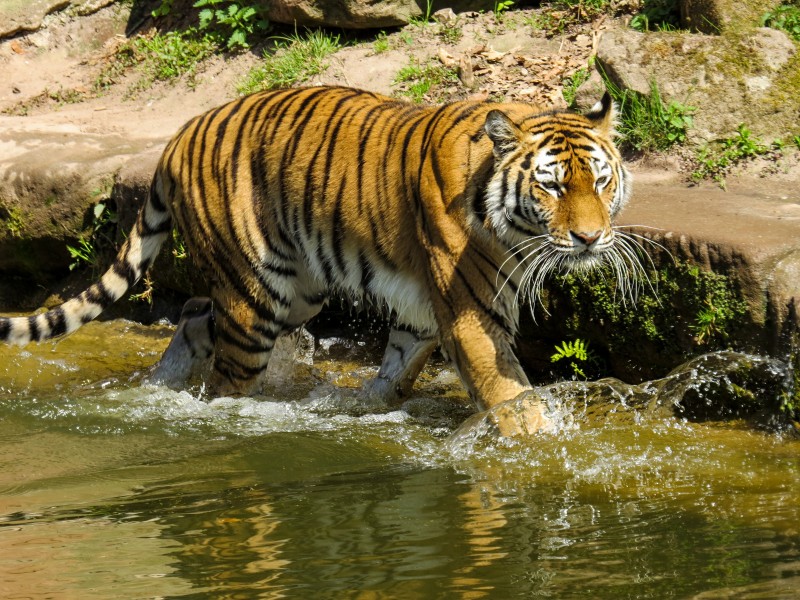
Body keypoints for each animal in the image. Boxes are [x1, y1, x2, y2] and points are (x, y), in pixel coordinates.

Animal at [0, 86, 636, 428]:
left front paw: (362, 405)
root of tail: (181, 133)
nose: (590, 238)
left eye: (601, 181)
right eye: (552, 186)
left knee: (193, 315)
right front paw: (543, 450)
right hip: (257, 297)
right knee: (226, 375)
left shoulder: (426, 311)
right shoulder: (472, 313)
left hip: (298, 291)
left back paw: (163, 384)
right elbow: (512, 397)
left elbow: (397, 369)